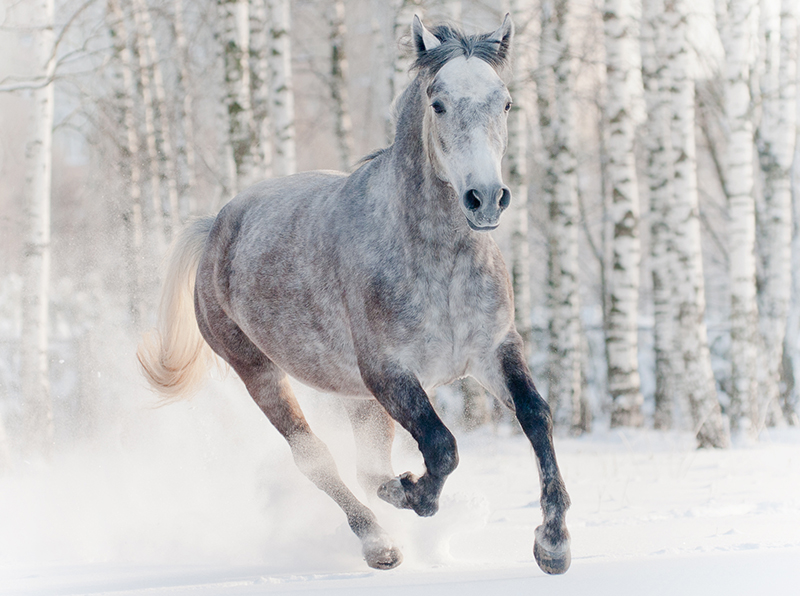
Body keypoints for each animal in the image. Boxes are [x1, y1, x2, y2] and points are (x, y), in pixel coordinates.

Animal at [141, 14, 572, 572]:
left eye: (505, 102)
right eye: (438, 103)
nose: (486, 198)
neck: (440, 264)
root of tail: (214, 226)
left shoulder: (493, 351)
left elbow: (536, 417)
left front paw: (553, 543)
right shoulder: (388, 371)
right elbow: (442, 445)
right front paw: (413, 495)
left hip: (355, 396)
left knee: (367, 461)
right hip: (260, 372)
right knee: (314, 457)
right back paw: (379, 541)